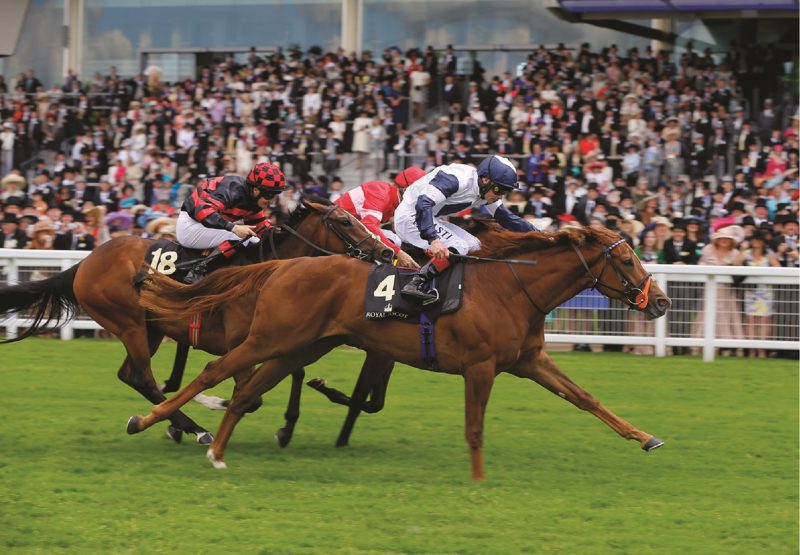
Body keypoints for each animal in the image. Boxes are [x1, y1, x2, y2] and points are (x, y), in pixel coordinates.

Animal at [0, 198, 390, 446]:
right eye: (345, 221)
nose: (386, 251)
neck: (265, 268)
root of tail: (86, 262)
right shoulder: (241, 342)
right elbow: (251, 394)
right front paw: (216, 403)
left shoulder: (284, 336)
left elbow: (294, 373)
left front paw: (286, 428)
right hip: (129, 323)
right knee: (142, 377)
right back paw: (193, 427)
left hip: (150, 328)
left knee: (130, 375)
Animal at [134, 224, 672, 480]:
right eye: (627, 260)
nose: (663, 301)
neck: (511, 287)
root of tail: (284, 265)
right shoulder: (480, 368)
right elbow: (474, 429)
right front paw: (479, 480)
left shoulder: (528, 361)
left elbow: (585, 398)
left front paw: (646, 437)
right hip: (271, 338)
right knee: (214, 371)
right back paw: (152, 421)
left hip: (299, 347)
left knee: (247, 391)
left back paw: (218, 453)